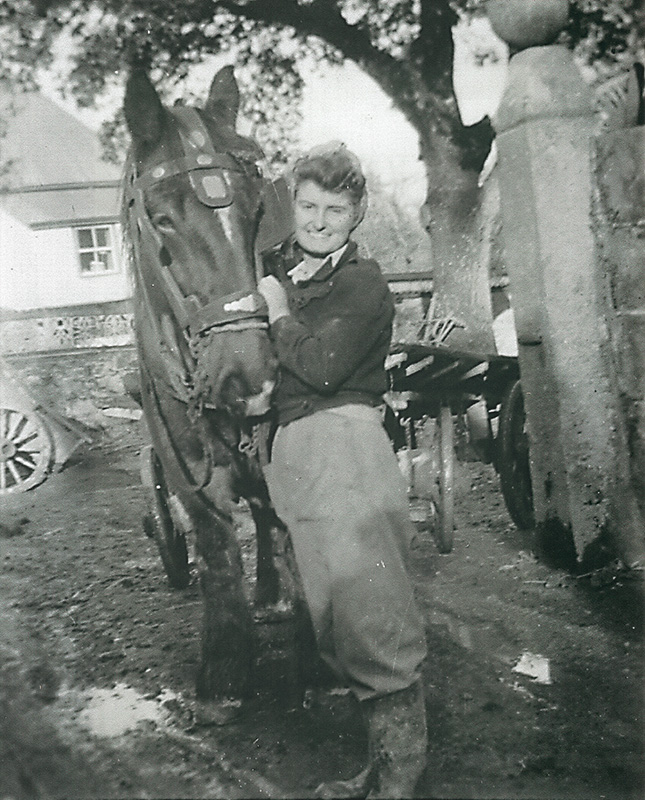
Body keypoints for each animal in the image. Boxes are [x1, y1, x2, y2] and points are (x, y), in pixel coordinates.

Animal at [123, 64, 300, 712]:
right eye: (162, 218)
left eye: (257, 209)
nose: (248, 374)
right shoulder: (184, 467)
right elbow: (216, 546)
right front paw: (225, 666)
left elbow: (281, 519)